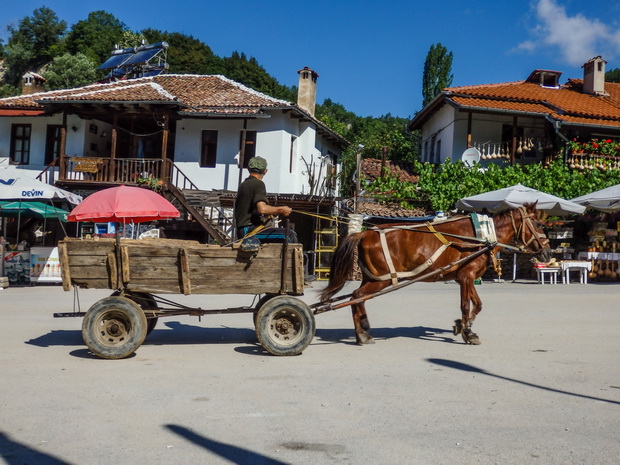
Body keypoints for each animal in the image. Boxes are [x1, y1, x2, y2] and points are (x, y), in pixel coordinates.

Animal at [322, 203, 548, 344]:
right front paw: (467, 332)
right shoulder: (466, 277)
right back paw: (362, 334)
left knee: (356, 299)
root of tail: (364, 233)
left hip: (372, 278)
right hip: (381, 281)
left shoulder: (465, 278)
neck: (481, 235)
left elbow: (477, 305)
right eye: (538, 224)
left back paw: (363, 331)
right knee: (357, 296)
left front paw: (462, 326)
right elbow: (466, 306)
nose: (547, 252)